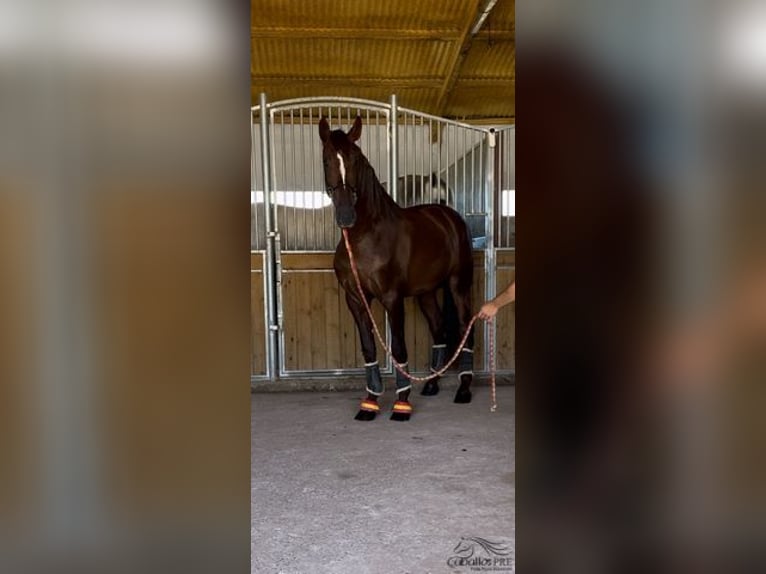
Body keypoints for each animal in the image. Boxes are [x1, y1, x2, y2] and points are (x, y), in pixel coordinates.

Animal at [316, 117, 474, 424]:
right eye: (327, 159)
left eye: (355, 159)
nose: (346, 215)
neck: (366, 236)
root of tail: (449, 216)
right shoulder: (355, 299)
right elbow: (368, 348)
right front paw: (369, 403)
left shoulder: (392, 298)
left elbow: (399, 347)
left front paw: (401, 404)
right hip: (426, 293)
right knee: (439, 330)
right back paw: (432, 385)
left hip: (458, 285)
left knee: (465, 328)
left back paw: (463, 390)